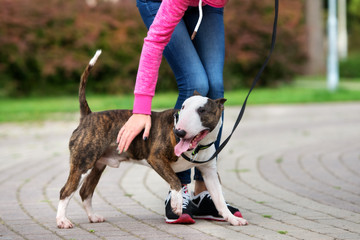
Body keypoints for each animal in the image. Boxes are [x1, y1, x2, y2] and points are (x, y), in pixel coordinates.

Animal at [56, 50, 248, 229]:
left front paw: (232, 219)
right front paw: (177, 206)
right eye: (183, 107)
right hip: (83, 163)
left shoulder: (209, 172)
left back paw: (93, 217)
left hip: (97, 165)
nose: (178, 132)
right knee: (66, 191)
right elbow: (176, 181)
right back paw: (62, 221)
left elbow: (219, 198)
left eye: (202, 110)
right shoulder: (156, 158)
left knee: (85, 191)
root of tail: (88, 116)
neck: (197, 147)